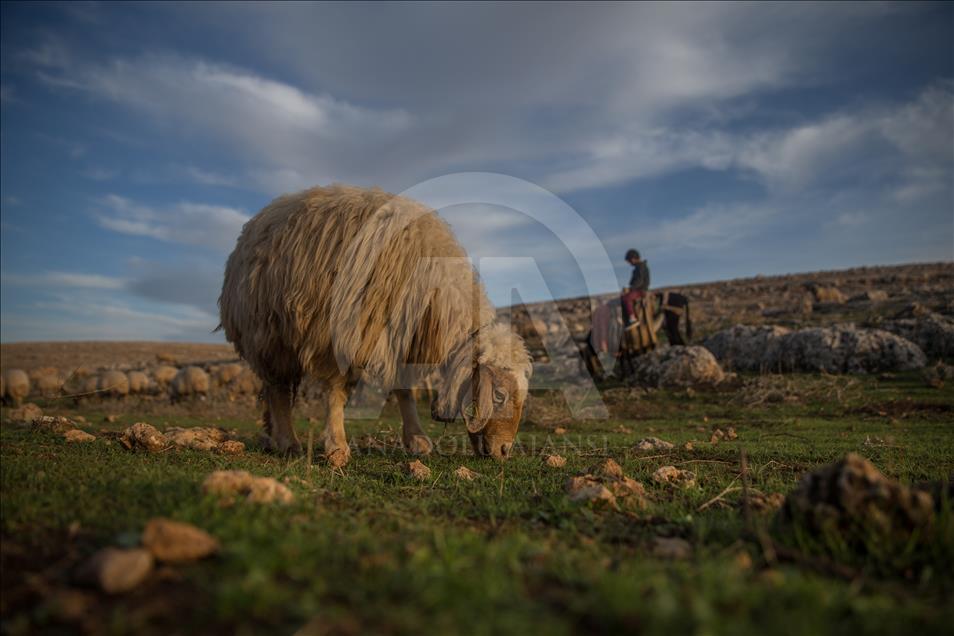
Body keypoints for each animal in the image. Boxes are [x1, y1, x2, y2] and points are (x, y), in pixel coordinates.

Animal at [218, 181, 528, 464]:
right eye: (499, 395)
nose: (505, 451)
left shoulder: (403, 337)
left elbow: (404, 390)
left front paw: (417, 439)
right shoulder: (337, 331)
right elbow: (336, 389)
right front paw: (337, 448)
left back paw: (272, 436)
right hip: (268, 333)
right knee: (279, 390)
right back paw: (287, 442)